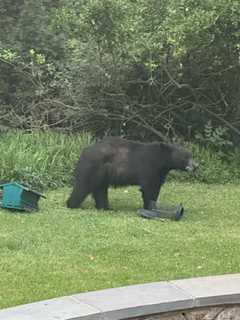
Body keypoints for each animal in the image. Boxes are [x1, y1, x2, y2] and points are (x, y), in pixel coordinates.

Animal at [66, 137, 198, 210]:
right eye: (186, 157)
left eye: (191, 155)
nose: (196, 166)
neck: (162, 161)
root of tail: (84, 151)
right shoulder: (149, 168)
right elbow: (149, 188)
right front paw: (149, 207)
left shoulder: (160, 172)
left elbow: (156, 186)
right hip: (93, 168)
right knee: (83, 186)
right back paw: (72, 204)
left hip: (102, 173)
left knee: (100, 189)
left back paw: (105, 207)